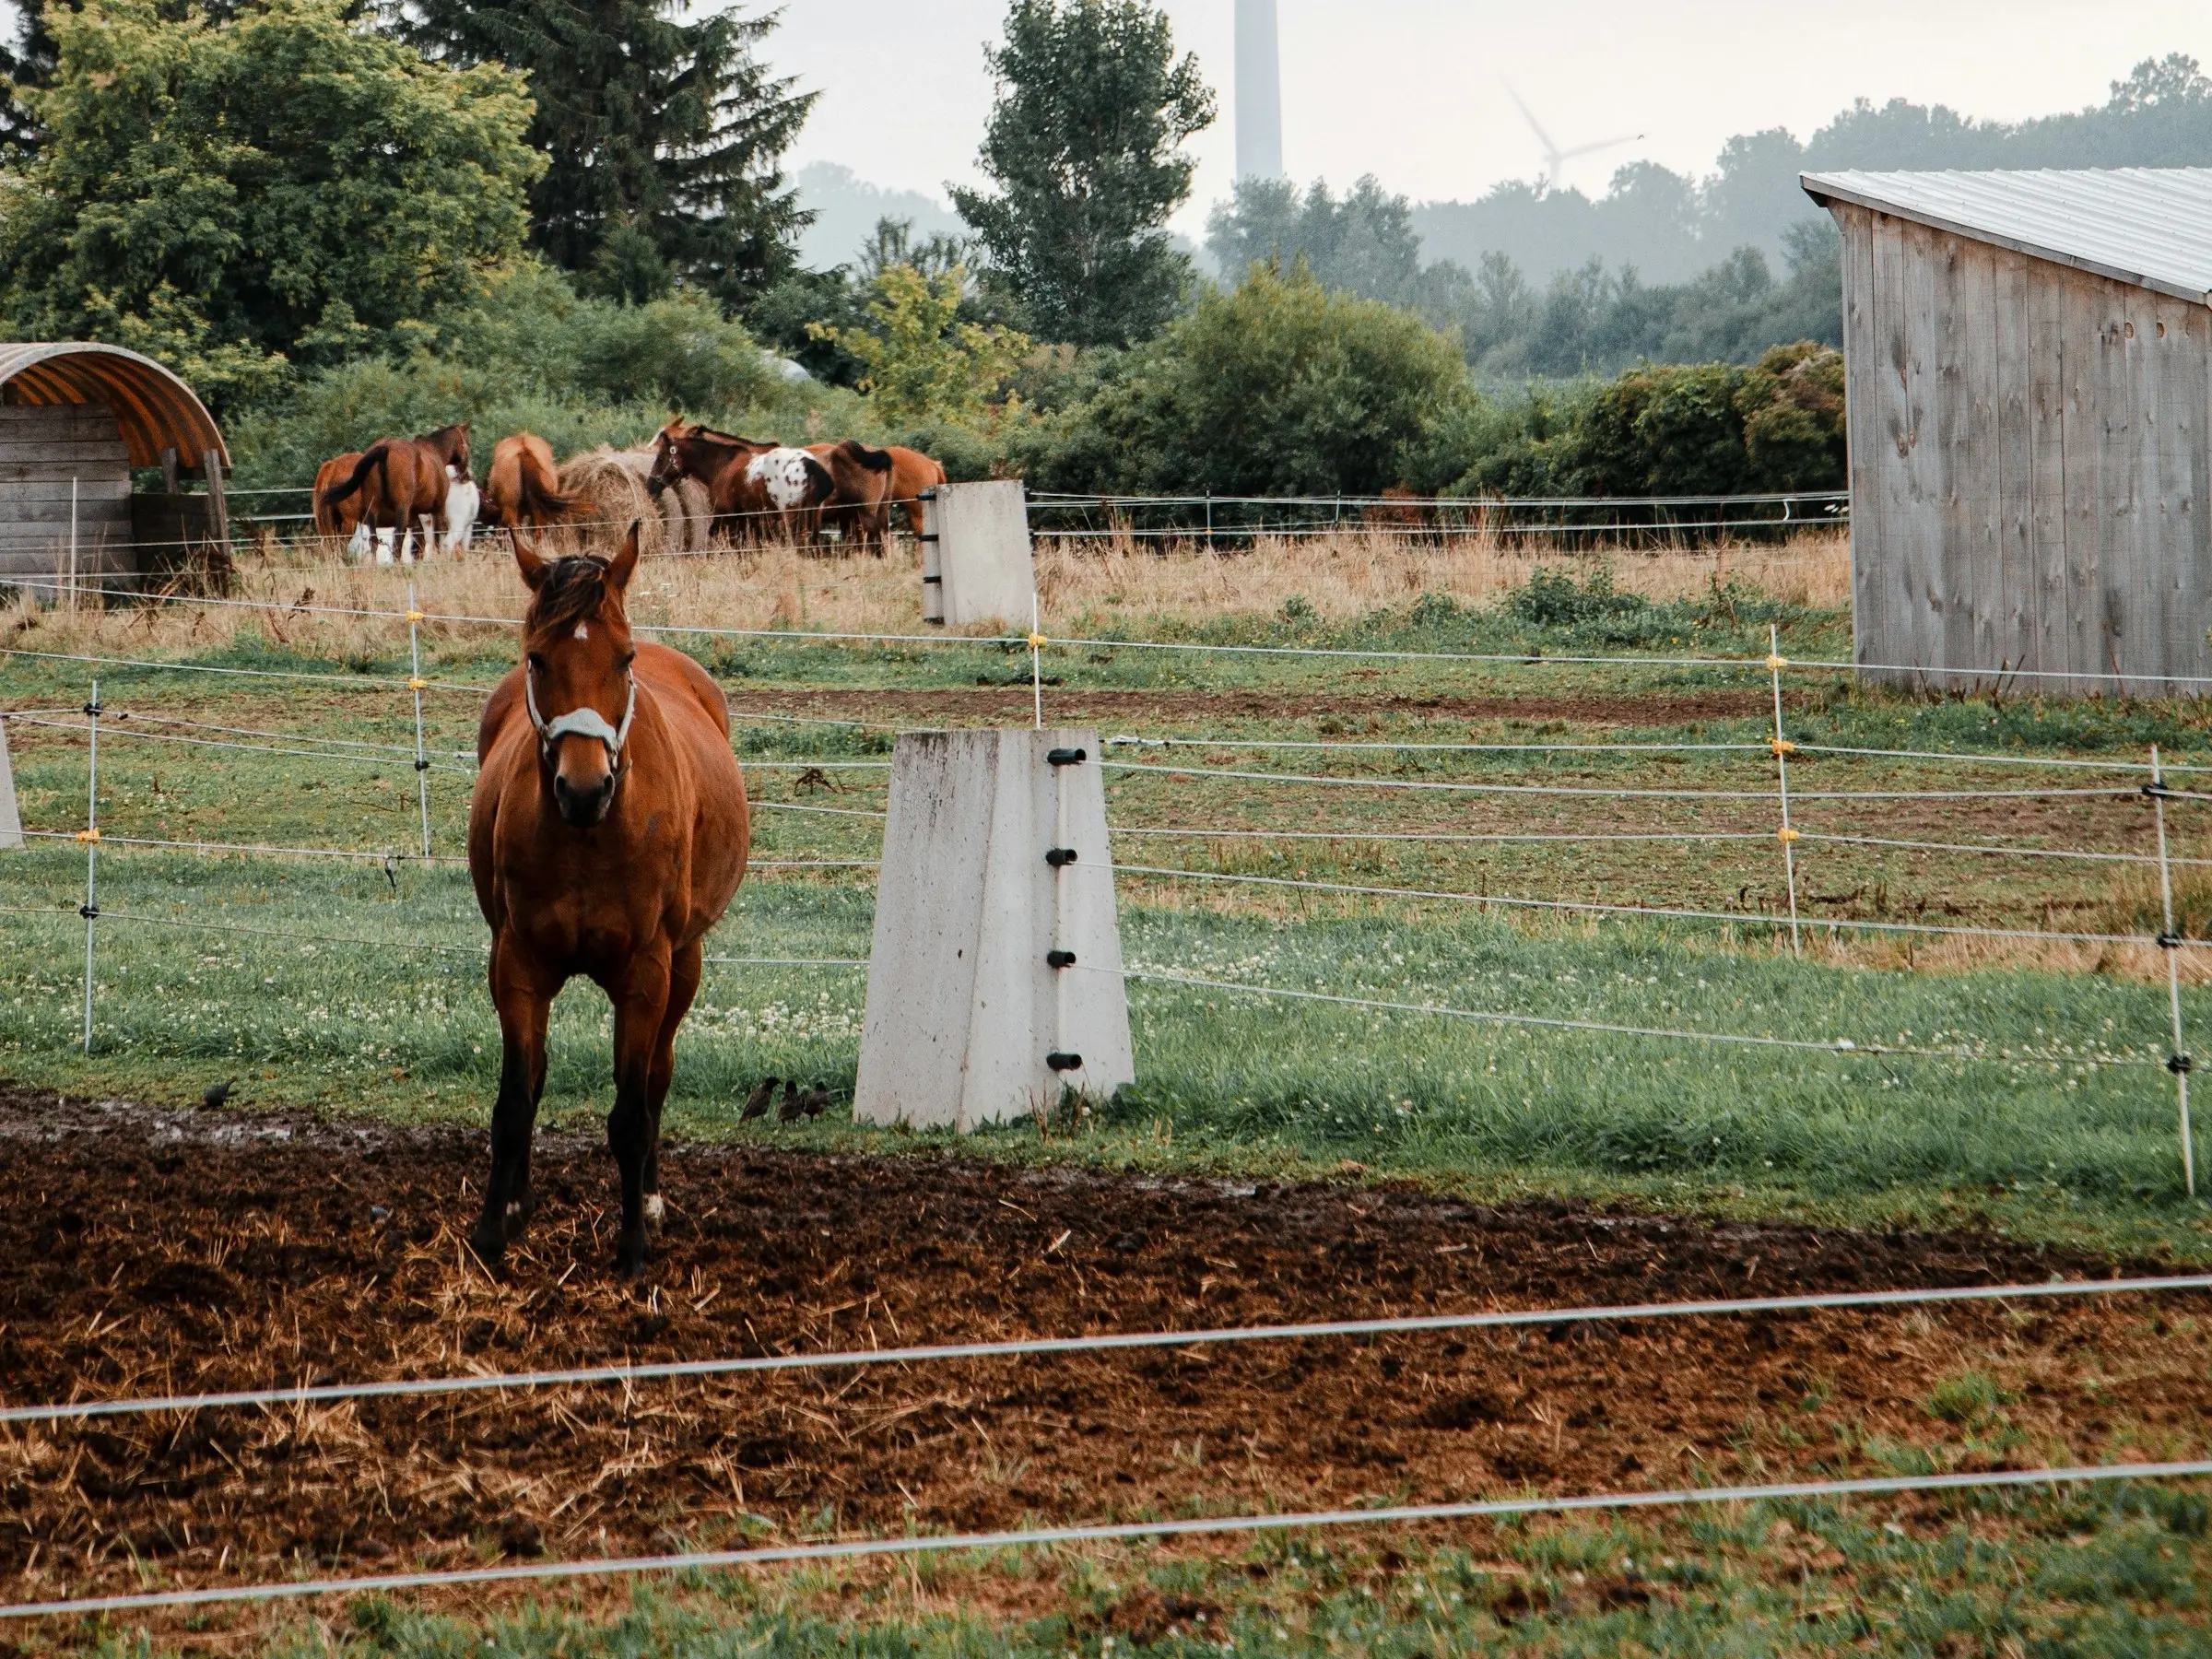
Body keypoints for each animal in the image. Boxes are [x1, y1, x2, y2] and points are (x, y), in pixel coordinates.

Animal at [321, 424, 471, 561]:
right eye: (466, 444)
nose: (465, 476)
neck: (435, 451)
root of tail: (385, 448)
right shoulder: (438, 509)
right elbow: (438, 537)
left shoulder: (414, 516)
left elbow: (419, 543)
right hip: (383, 514)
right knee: (396, 539)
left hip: (367, 511)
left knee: (371, 541)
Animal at [466, 526, 752, 1283]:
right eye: (538, 657)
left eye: (621, 659)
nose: (584, 787)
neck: (588, 838)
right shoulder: (517, 965)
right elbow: (517, 1100)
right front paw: (494, 1230)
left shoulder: (646, 975)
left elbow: (631, 1110)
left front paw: (631, 1247)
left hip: (685, 964)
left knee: (656, 1080)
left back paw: (648, 1200)